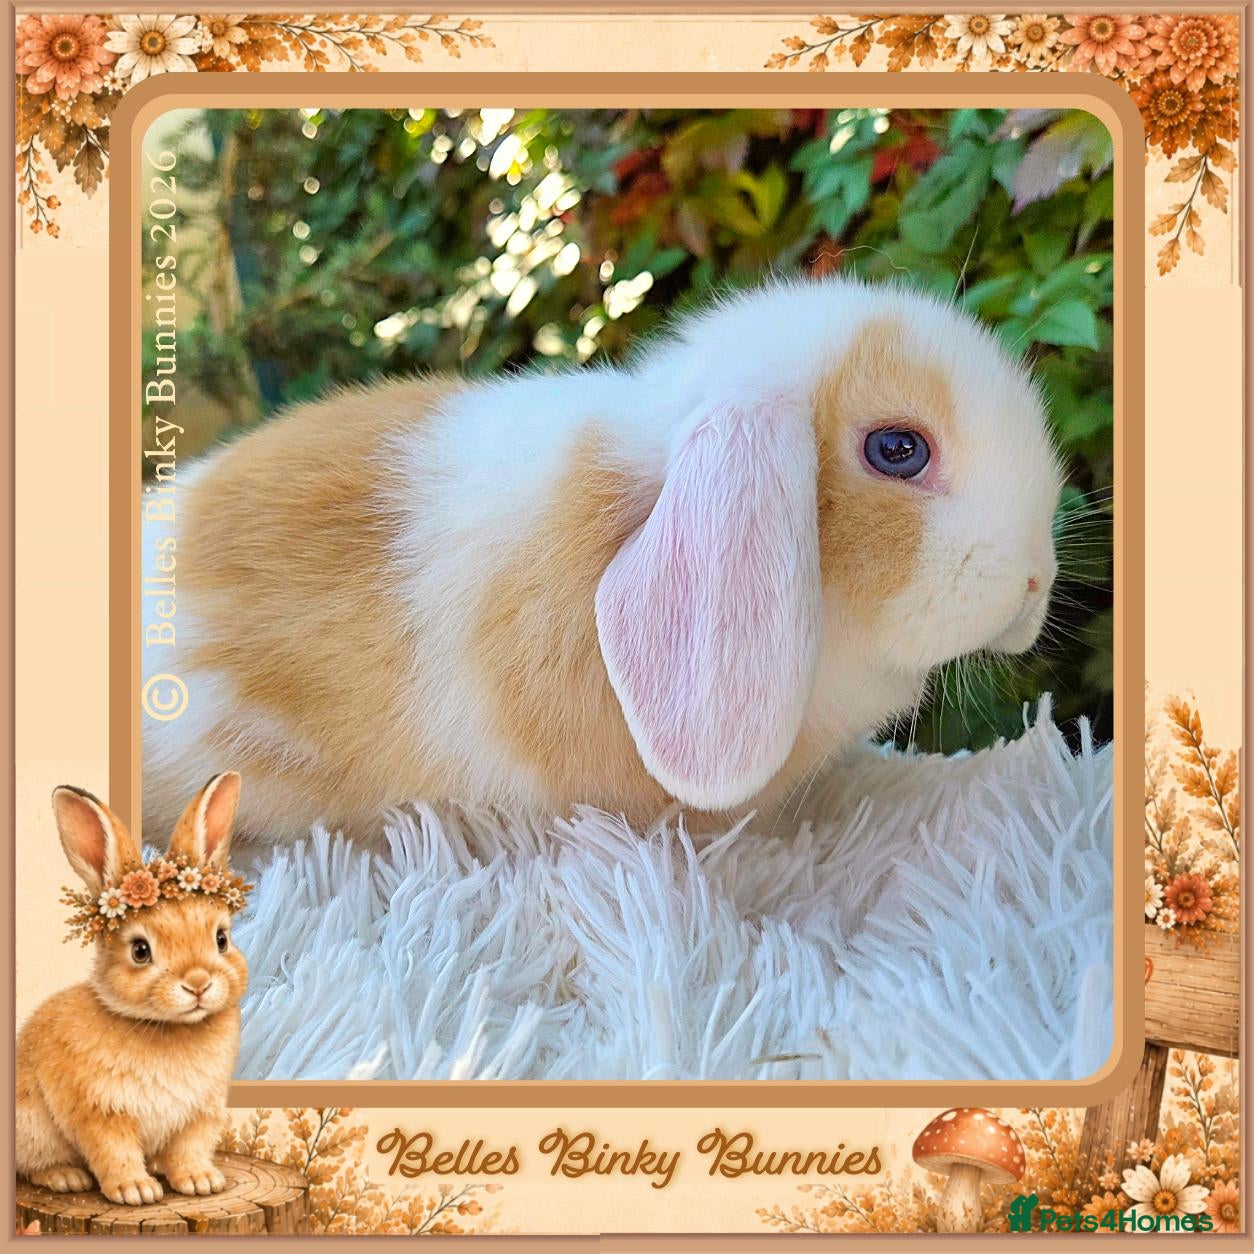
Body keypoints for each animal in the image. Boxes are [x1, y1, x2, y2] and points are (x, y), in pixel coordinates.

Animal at [16, 773, 248, 1205]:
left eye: (221, 939)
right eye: (141, 951)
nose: (198, 984)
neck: (168, 1029)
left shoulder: (200, 1113)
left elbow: (190, 1149)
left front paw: (201, 1182)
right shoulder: (101, 1112)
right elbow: (114, 1151)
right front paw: (135, 1191)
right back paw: (65, 1177)